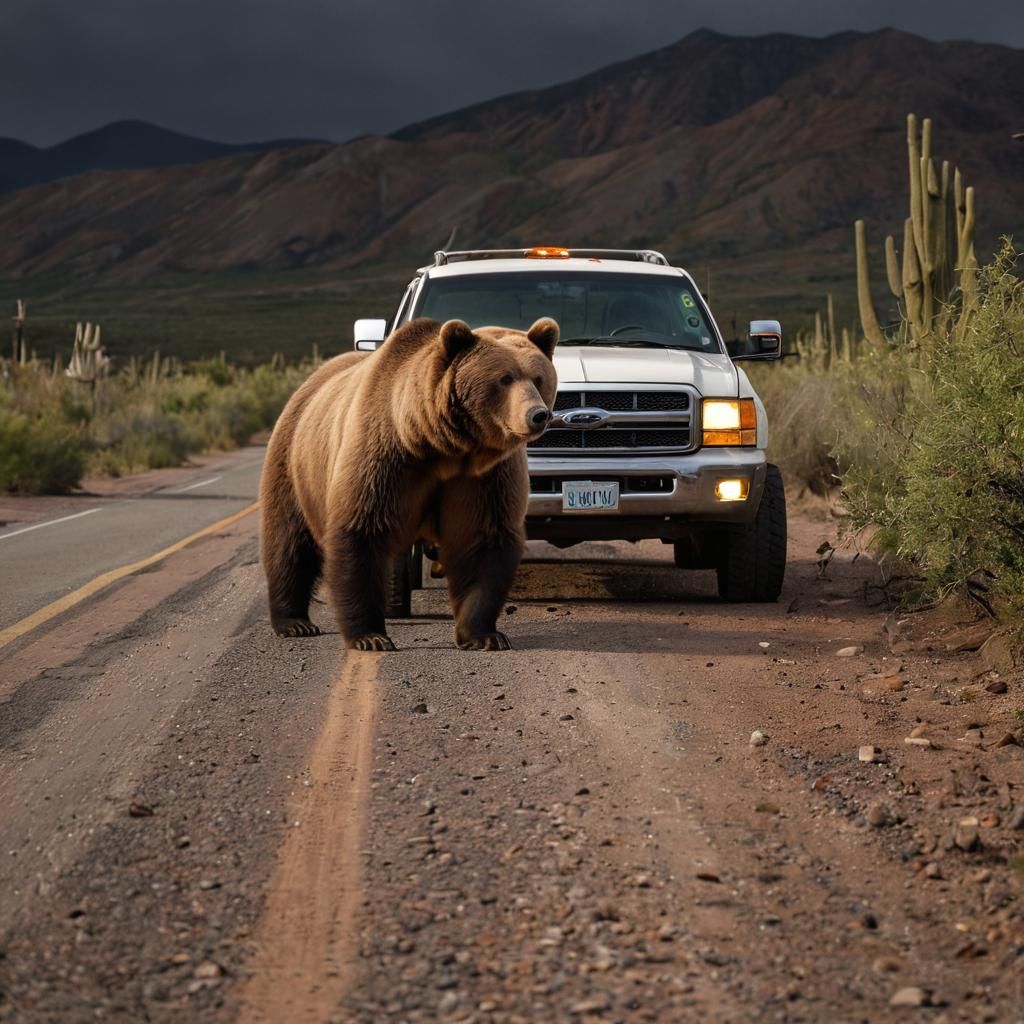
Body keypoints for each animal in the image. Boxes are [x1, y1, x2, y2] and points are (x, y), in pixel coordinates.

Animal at [259, 316, 559, 651]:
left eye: (538, 378)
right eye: (504, 378)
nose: (538, 415)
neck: (444, 447)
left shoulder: (484, 477)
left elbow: (483, 538)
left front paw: (484, 635)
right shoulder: (388, 458)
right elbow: (361, 530)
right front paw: (370, 636)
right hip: (294, 464)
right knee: (289, 542)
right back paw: (294, 622)